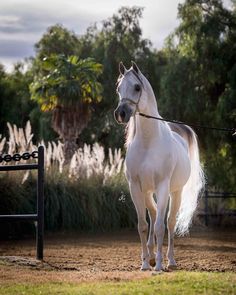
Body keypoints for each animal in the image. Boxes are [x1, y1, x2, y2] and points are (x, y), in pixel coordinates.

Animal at [113, 62, 204, 272]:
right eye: (118, 88)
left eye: (137, 87)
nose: (121, 114)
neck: (148, 143)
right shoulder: (135, 188)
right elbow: (143, 225)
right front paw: (146, 263)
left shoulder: (163, 187)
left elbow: (161, 227)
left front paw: (159, 266)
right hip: (148, 192)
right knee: (154, 215)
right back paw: (152, 256)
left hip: (175, 192)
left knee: (169, 223)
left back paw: (170, 260)